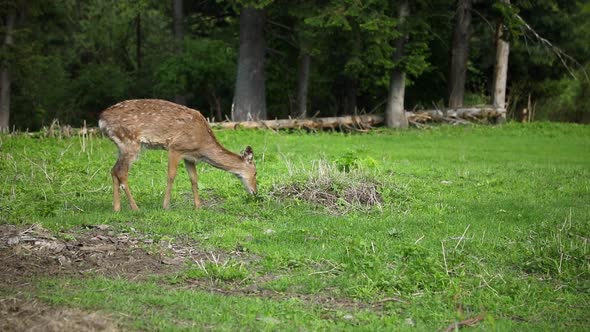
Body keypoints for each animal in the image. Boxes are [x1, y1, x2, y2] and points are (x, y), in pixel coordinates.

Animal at [98, 100, 258, 211]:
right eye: (256, 172)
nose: (255, 192)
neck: (202, 144)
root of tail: (101, 120)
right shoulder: (175, 148)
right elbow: (171, 176)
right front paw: (165, 206)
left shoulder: (189, 156)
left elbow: (194, 179)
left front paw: (198, 207)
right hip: (130, 142)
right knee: (121, 172)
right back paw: (135, 208)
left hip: (122, 146)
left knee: (113, 170)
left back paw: (116, 208)